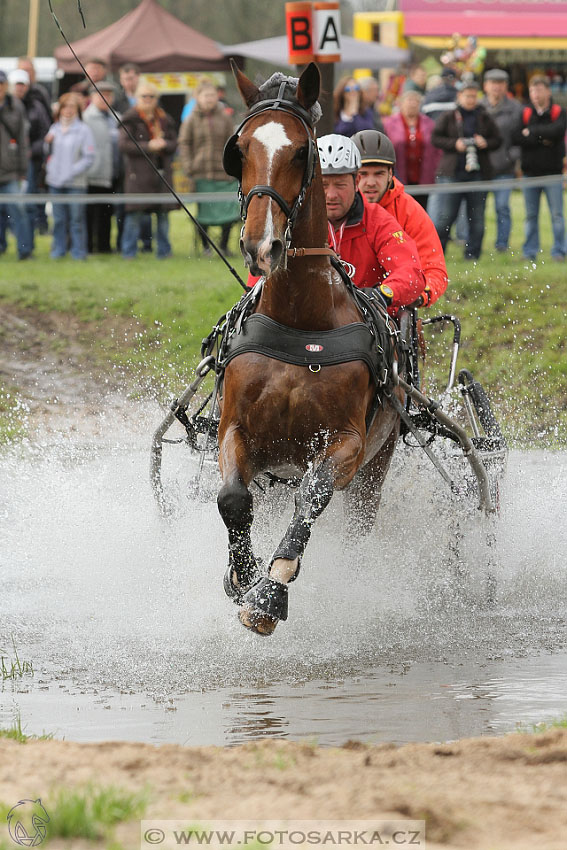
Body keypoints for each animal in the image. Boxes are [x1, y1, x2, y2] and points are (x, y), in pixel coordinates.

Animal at [216, 63, 404, 632]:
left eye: (302, 151)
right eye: (240, 149)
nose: (262, 244)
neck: (302, 320)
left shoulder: (346, 444)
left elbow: (314, 494)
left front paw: (271, 590)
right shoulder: (237, 431)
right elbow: (232, 499)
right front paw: (243, 573)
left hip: (376, 466)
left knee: (358, 520)